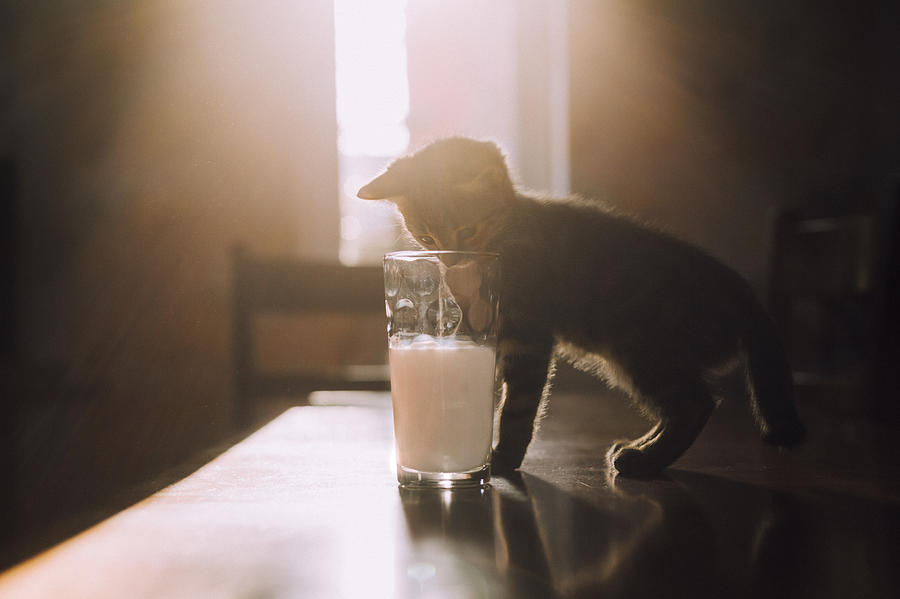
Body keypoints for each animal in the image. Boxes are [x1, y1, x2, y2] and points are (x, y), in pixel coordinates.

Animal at [356, 136, 804, 478]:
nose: (450, 260)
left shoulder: (529, 336)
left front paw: (502, 459)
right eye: (428, 238)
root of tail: (741, 291)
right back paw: (639, 447)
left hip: (641, 346)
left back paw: (645, 460)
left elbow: (517, 407)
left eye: (466, 231)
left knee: (696, 403)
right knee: (686, 403)